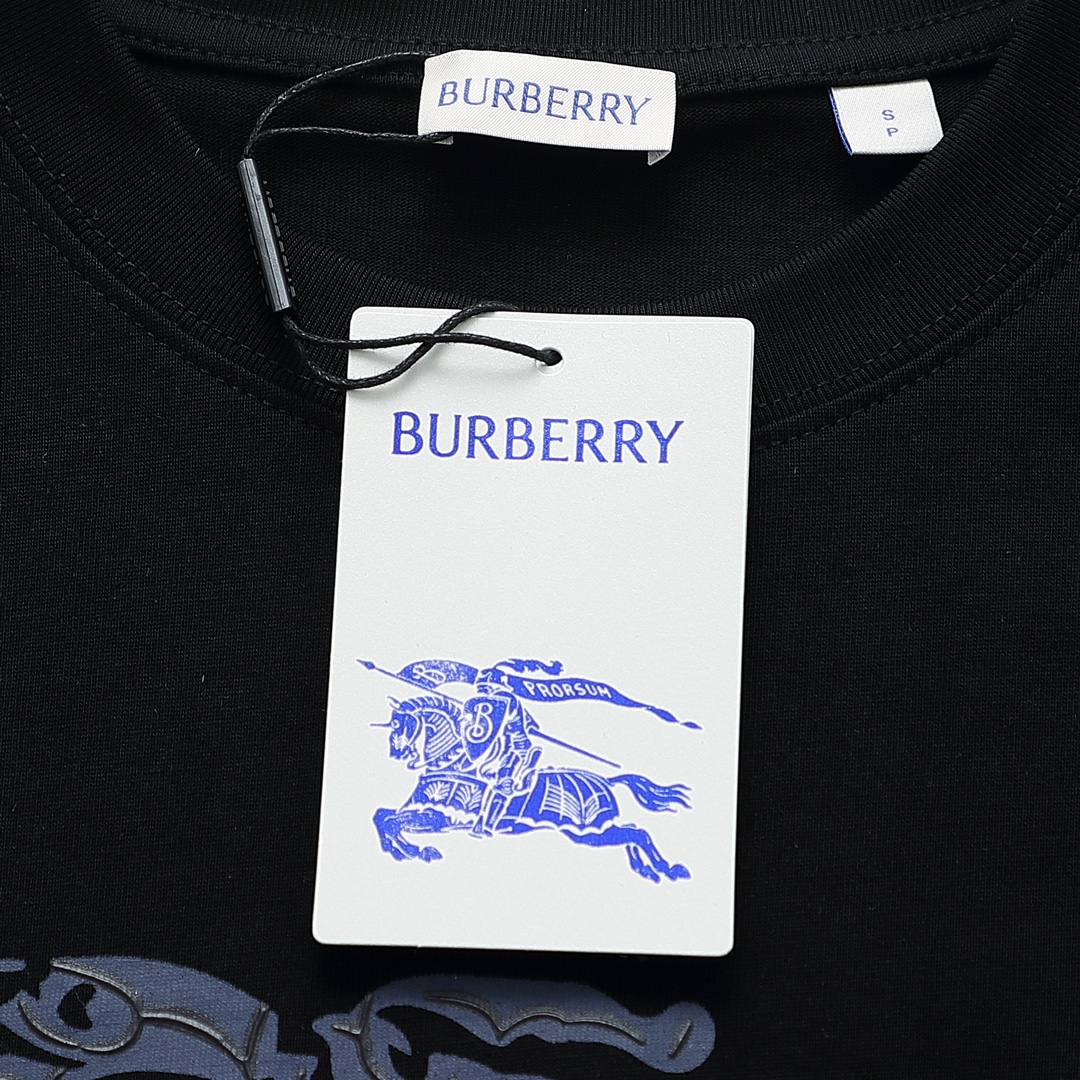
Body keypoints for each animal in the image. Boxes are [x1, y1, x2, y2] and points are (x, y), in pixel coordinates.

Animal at [373, 695, 692, 883]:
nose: (394, 751)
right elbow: (383, 817)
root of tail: (608, 780)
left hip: (586, 832)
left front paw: (416, 850)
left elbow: (392, 822)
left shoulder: (441, 817)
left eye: (401, 725)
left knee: (637, 834)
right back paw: (648, 870)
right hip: (594, 832)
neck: (455, 764)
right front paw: (401, 851)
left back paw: (668, 869)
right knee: (632, 834)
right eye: (393, 725)